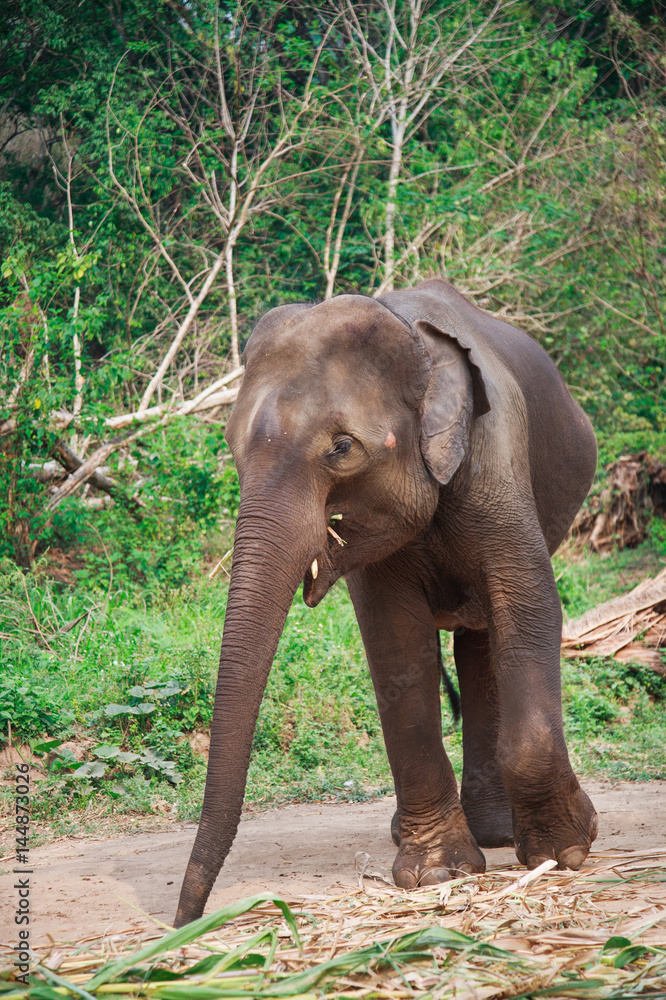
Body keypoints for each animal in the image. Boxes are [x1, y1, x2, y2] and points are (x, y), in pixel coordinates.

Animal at [174, 278, 598, 926]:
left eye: (342, 448)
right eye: (232, 447)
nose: (182, 922)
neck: (407, 334)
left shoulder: (497, 456)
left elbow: (528, 608)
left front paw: (566, 850)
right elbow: (396, 647)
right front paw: (437, 874)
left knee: (484, 637)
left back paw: (499, 835)